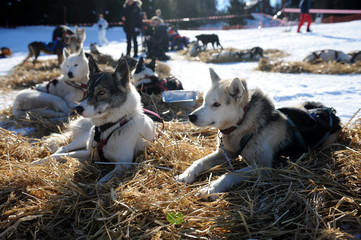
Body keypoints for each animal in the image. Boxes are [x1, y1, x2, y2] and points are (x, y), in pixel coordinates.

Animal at [35, 55, 155, 185]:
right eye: (88, 90)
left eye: (101, 92)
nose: (78, 108)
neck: (111, 126)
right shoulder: (90, 152)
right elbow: (64, 155)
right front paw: (40, 161)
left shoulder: (123, 164)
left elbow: (100, 183)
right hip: (84, 138)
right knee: (63, 148)